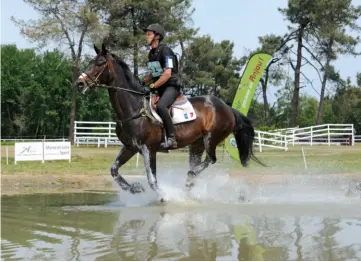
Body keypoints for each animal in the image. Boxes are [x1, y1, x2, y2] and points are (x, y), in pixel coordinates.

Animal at [74, 44, 264, 202]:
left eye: (99, 63)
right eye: (91, 61)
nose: (79, 83)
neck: (135, 108)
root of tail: (227, 107)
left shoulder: (148, 149)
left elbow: (152, 179)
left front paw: (164, 196)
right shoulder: (130, 147)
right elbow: (114, 171)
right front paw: (136, 189)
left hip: (211, 138)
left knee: (211, 159)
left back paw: (189, 178)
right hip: (196, 144)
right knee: (198, 163)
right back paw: (189, 186)